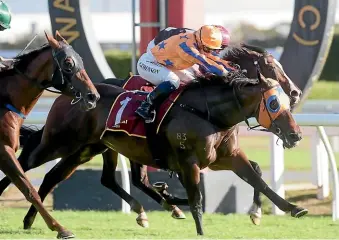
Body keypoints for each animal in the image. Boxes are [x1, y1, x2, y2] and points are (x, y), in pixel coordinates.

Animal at [0, 31, 99, 238]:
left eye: (81, 60)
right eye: (68, 63)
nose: (93, 97)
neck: (4, 101)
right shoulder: (3, 149)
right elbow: (28, 188)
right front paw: (60, 228)